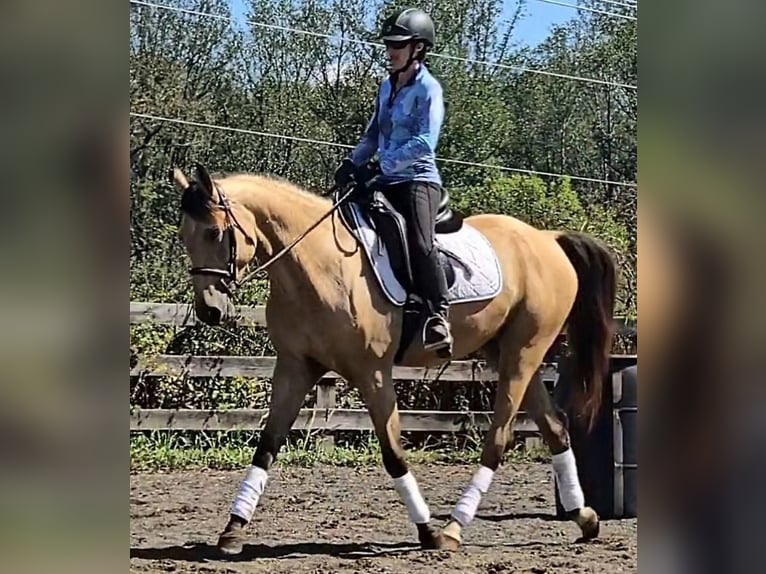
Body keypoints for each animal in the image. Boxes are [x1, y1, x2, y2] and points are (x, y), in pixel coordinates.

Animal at [172, 163, 617, 555]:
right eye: (184, 236)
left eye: (214, 232)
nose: (210, 310)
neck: (320, 264)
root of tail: (548, 239)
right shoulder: (295, 368)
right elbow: (267, 445)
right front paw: (232, 531)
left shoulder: (373, 374)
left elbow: (392, 452)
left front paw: (427, 532)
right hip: (509, 354)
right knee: (555, 428)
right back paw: (585, 518)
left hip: (522, 355)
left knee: (500, 438)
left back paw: (453, 529)